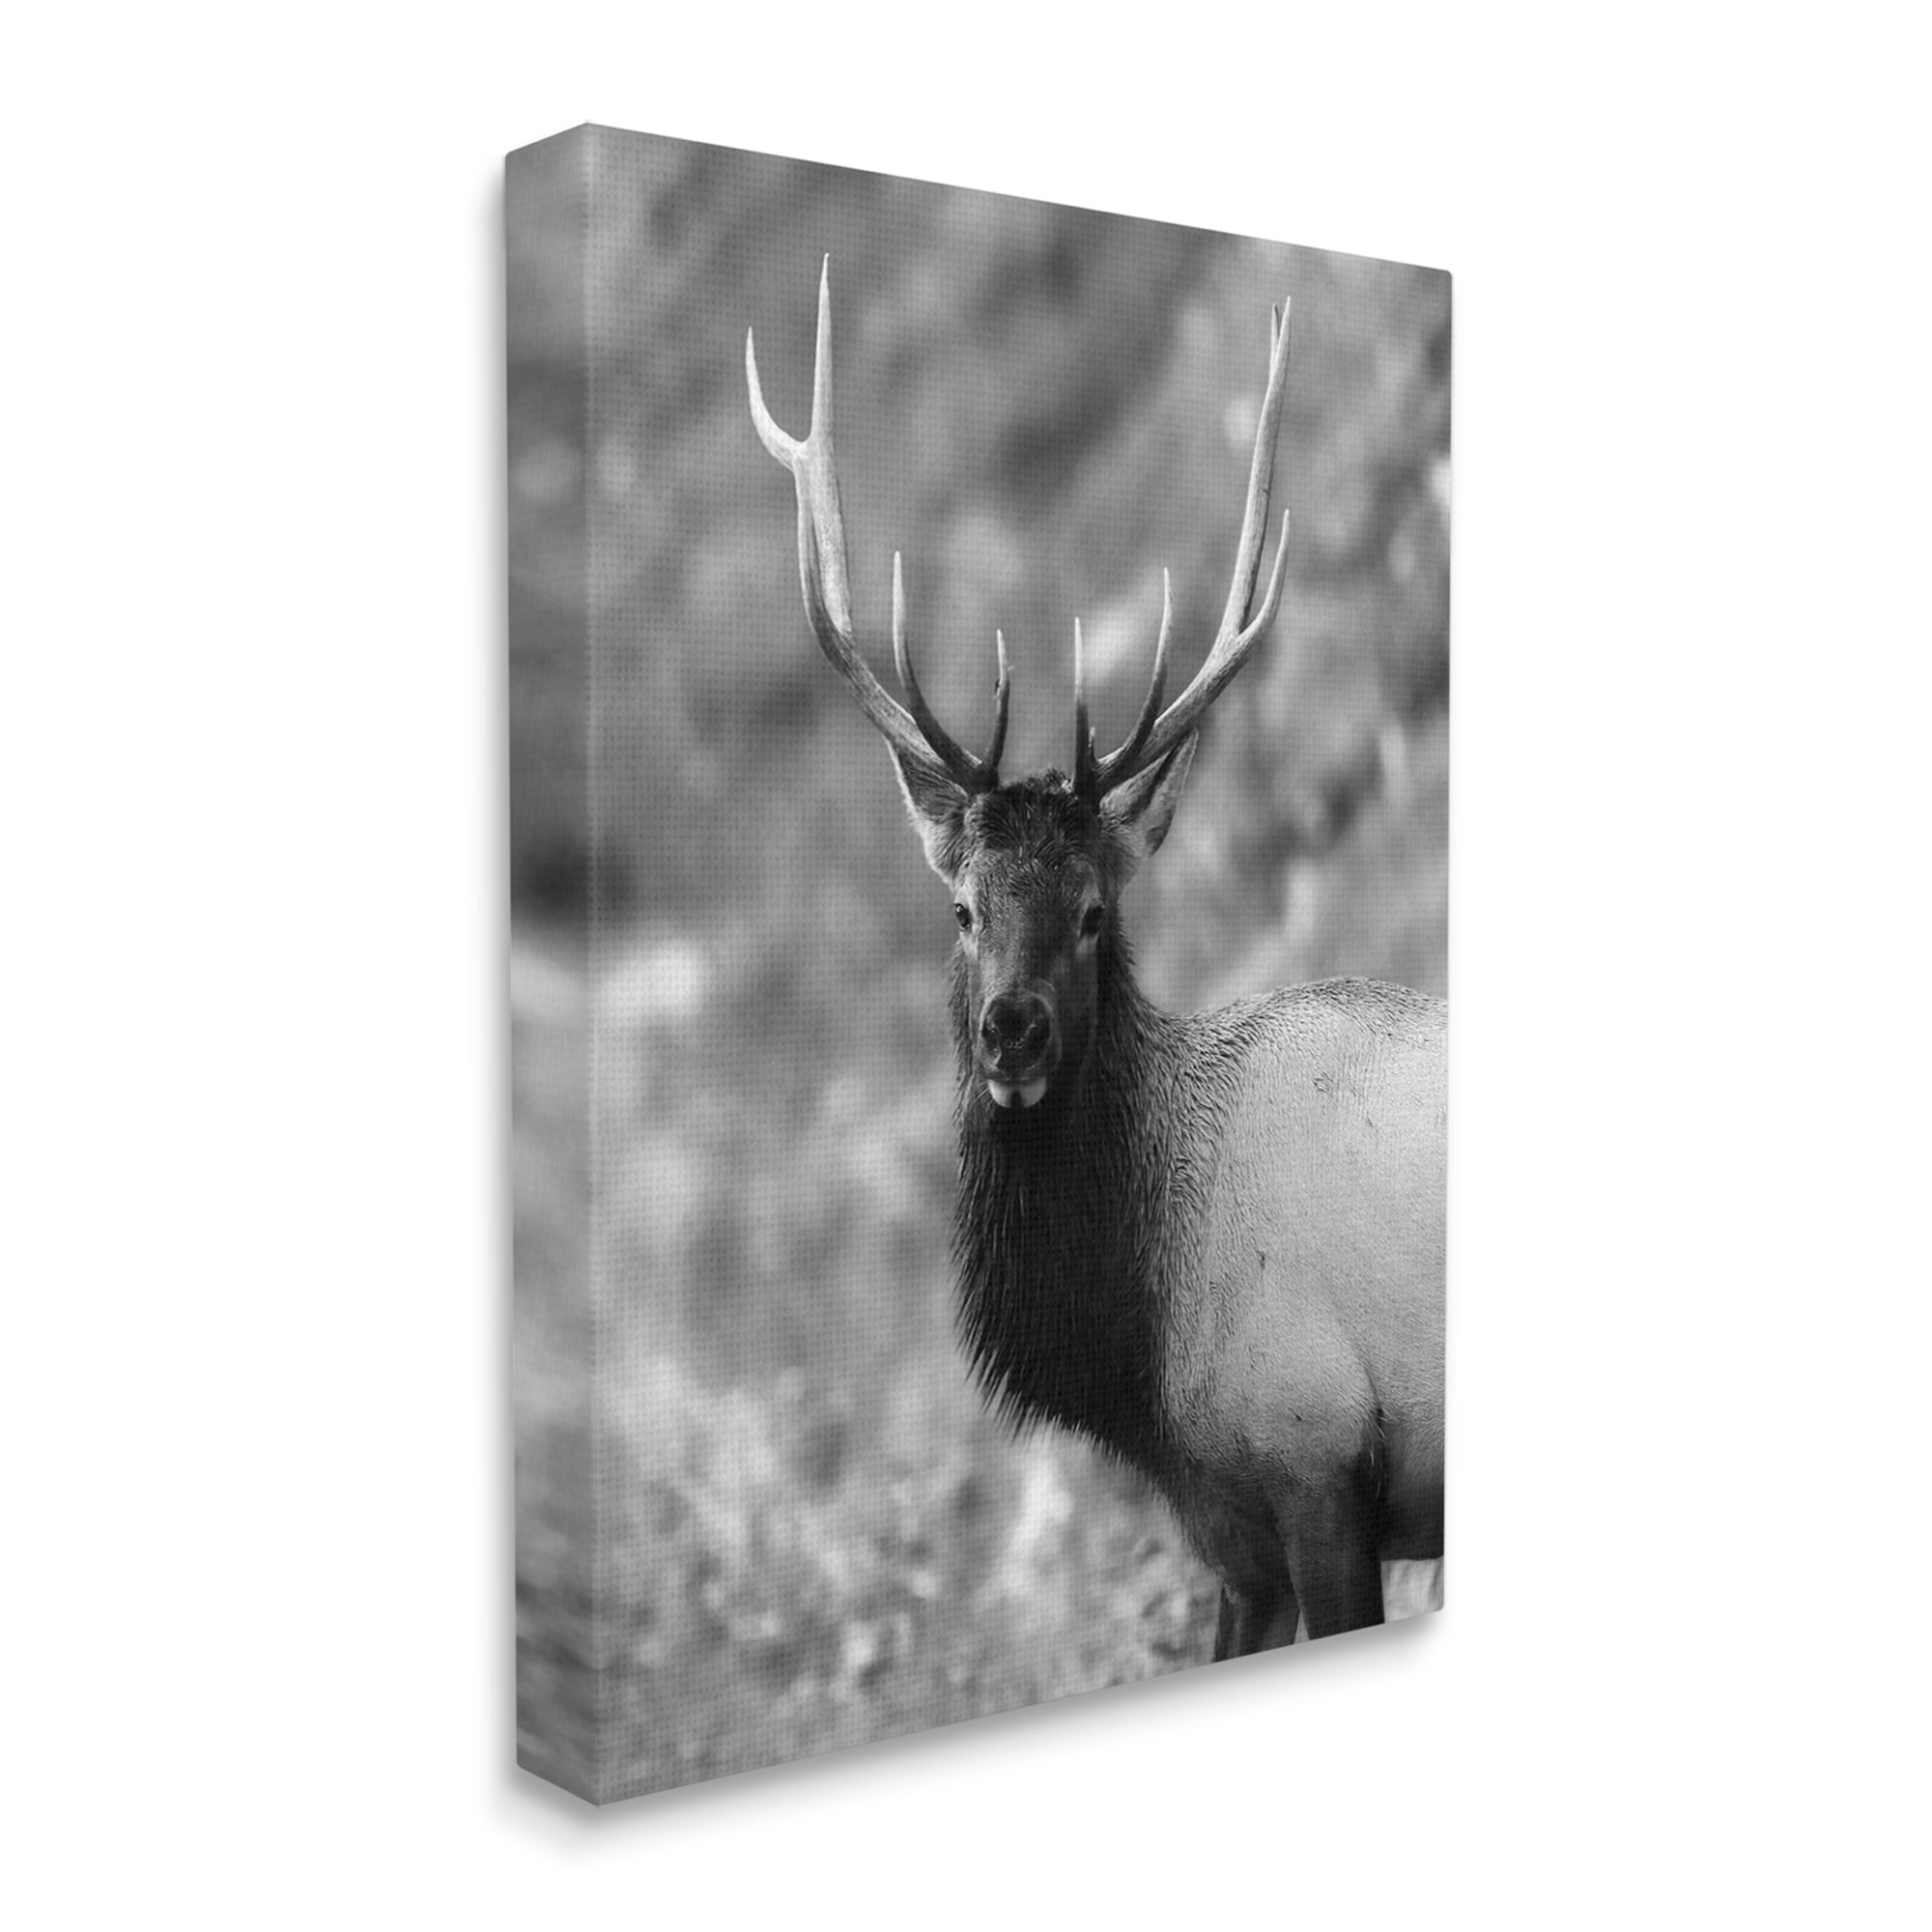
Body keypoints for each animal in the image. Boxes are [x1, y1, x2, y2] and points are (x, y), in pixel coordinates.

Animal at [747, 261, 1444, 1656]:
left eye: (1091, 913)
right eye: (964, 908)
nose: (1012, 1029)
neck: (1140, 1345)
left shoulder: (1319, 1460)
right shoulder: (1228, 1521)